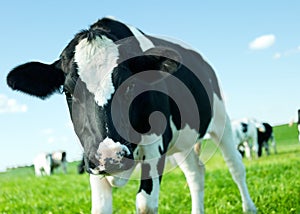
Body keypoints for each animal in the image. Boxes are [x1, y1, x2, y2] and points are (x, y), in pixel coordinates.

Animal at [6, 17, 255, 213]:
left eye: (130, 86)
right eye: (68, 91)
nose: (111, 156)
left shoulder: (155, 145)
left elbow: (145, 204)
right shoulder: (93, 157)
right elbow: (100, 208)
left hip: (221, 122)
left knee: (236, 167)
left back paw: (249, 207)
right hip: (181, 142)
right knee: (195, 173)